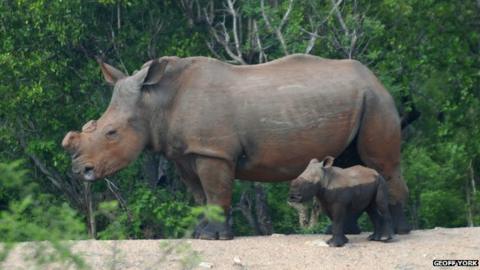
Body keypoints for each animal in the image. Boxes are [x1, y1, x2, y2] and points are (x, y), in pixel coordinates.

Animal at [62, 53, 410, 239]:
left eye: (111, 132)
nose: (81, 170)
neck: (157, 101)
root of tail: (375, 79)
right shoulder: (186, 153)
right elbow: (200, 197)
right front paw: (201, 235)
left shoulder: (213, 152)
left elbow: (216, 193)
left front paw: (216, 238)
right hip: (360, 99)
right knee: (350, 161)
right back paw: (343, 231)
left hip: (376, 101)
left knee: (381, 163)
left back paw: (398, 233)